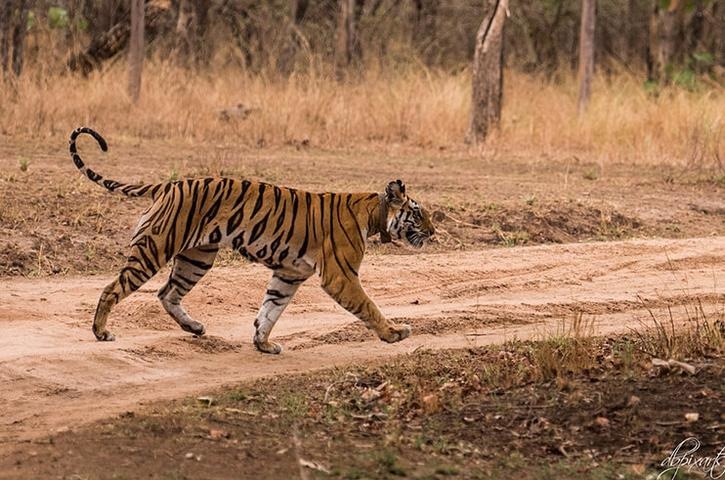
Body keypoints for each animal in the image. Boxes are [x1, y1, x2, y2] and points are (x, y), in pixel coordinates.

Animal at [68, 127, 432, 352]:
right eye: (418, 214)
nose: (434, 232)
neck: (373, 212)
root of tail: (169, 185)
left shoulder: (289, 273)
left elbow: (271, 308)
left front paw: (263, 343)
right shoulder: (340, 276)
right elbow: (369, 306)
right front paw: (394, 333)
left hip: (197, 257)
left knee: (167, 293)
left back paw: (195, 328)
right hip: (156, 248)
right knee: (113, 289)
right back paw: (101, 332)